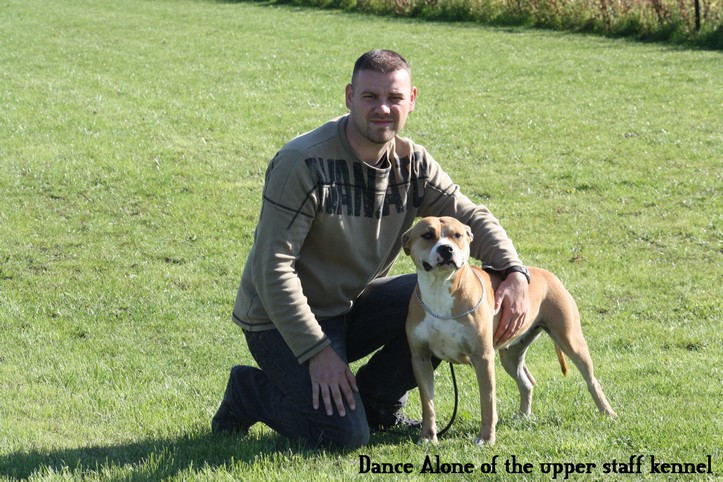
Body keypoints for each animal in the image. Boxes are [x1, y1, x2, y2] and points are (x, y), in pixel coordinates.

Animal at [402, 217, 616, 446]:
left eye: (457, 235)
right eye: (427, 235)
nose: (446, 249)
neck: (439, 288)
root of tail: (547, 274)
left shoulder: (483, 357)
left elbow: (487, 401)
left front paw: (486, 438)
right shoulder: (420, 358)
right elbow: (428, 403)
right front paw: (427, 437)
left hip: (570, 339)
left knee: (592, 381)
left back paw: (608, 413)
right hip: (511, 355)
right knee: (527, 382)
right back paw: (523, 416)